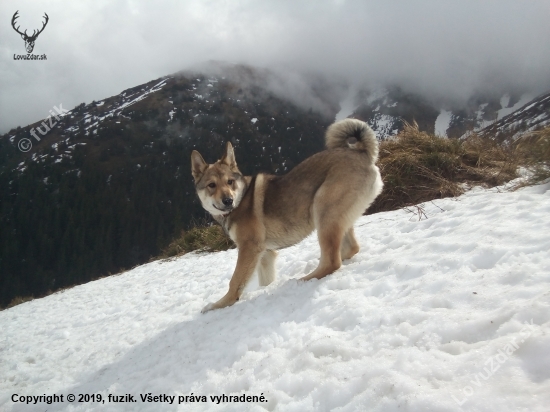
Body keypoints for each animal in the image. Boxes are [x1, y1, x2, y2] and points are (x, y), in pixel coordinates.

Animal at [192, 118, 386, 312]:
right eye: (211, 185)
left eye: (230, 182)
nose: (228, 201)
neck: (241, 200)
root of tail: (363, 153)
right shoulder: (265, 253)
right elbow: (264, 280)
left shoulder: (249, 248)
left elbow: (235, 281)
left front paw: (219, 305)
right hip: (337, 217)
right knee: (350, 248)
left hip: (323, 210)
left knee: (332, 261)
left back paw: (304, 280)